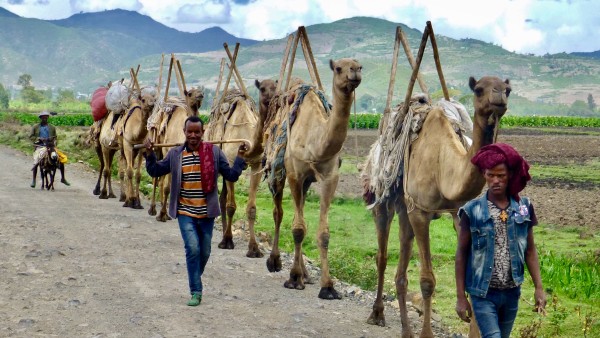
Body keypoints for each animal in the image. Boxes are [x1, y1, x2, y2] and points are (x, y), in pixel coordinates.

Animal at [148, 88, 205, 222]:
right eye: (190, 93)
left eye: (200, 91)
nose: (200, 95)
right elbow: (168, 187)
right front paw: (162, 214)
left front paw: (166, 213)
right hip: (157, 148)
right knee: (156, 178)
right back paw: (152, 209)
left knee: (161, 179)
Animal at [262, 58, 360, 298]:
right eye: (338, 68)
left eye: (360, 65)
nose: (355, 72)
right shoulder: (295, 175)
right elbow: (298, 228)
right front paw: (293, 278)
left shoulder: (329, 177)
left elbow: (323, 233)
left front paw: (328, 286)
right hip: (277, 172)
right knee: (279, 212)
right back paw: (275, 262)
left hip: (306, 183)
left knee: (300, 213)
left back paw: (306, 274)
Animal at [364, 76, 508, 338]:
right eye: (478, 90)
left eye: (508, 89)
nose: (499, 95)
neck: (444, 166)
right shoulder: (420, 212)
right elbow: (427, 281)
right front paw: (427, 334)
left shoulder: (459, 213)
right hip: (382, 197)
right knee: (382, 255)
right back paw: (377, 314)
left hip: (405, 208)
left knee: (402, 262)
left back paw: (406, 330)